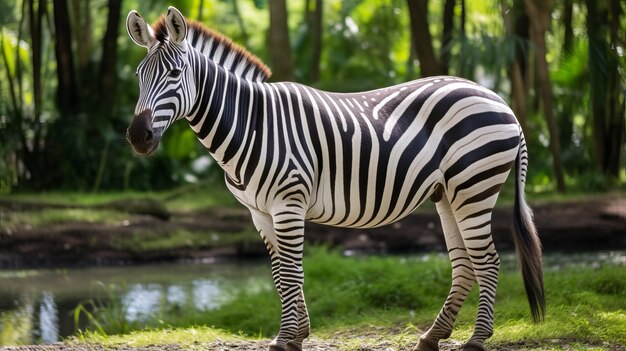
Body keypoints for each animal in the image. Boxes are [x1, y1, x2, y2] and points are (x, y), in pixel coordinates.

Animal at [124, 7, 540, 351]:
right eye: (138, 77)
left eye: (175, 74)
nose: (138, 137)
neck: (252, 124)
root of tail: (500, 100)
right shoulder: (259, 212)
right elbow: (279, 275)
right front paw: (293, 335)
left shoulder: (288, 203)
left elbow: (292, 273)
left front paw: (288, 339)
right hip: (448, 193)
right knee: (465, 263)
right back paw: (431, 337)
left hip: (474, 186)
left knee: (488, 260)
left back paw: (477, 339)